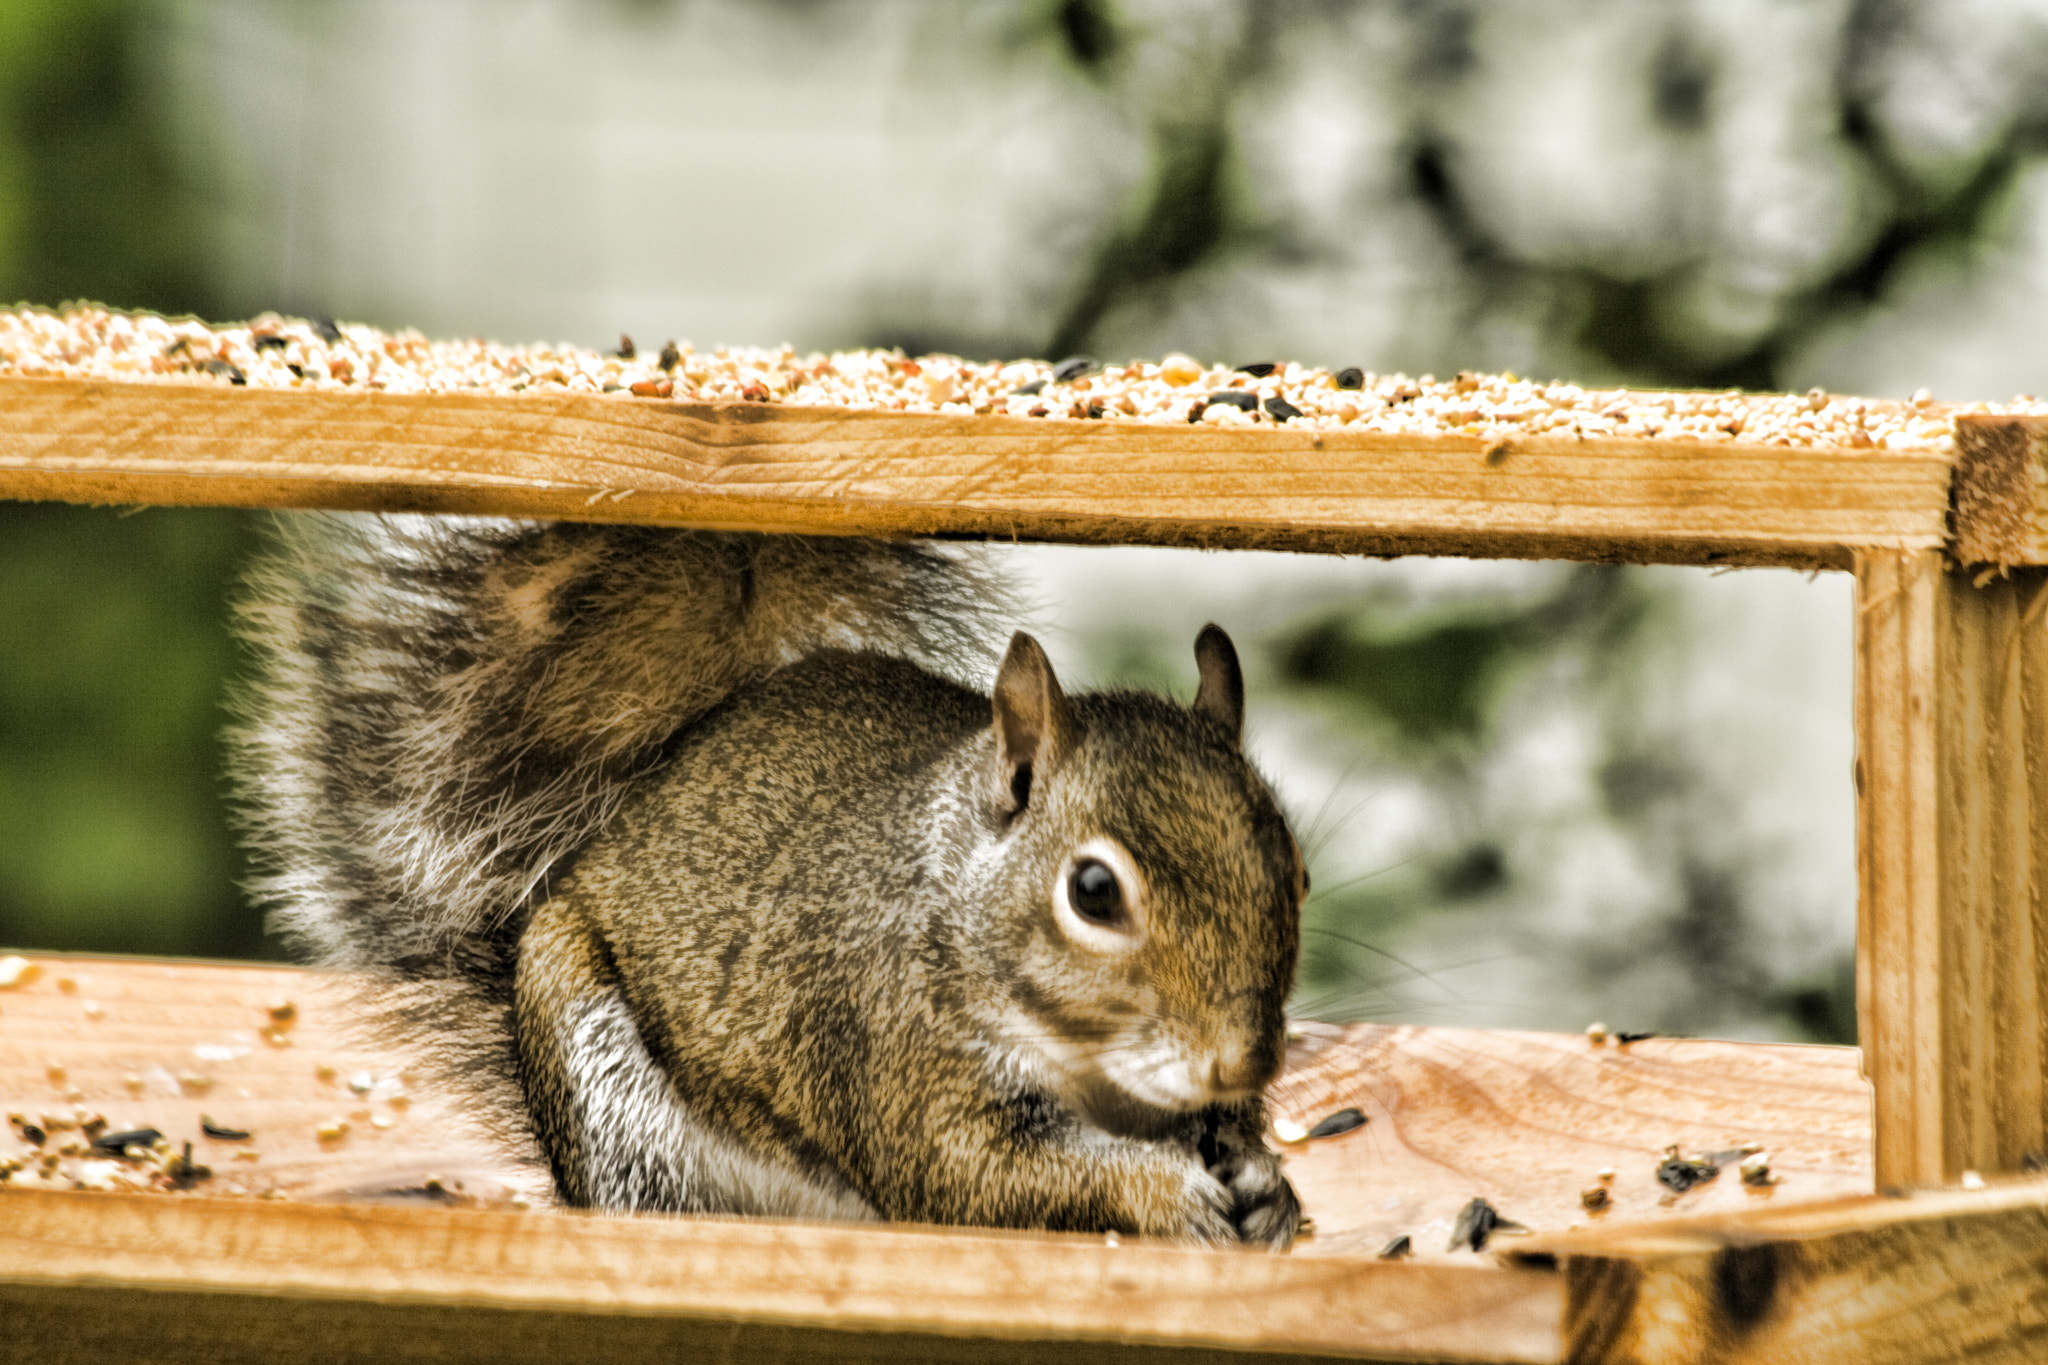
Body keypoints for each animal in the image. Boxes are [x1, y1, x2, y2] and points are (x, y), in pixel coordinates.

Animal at [231, 514, 1305, 1246]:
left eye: (1294, 866)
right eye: (1092, 892)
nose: (1240, 1063)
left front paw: (1264, 1181)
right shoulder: (893, 1049)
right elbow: (974, 1174)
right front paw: (1164, 1191)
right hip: (609, 1092)